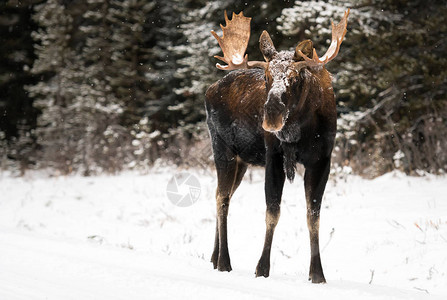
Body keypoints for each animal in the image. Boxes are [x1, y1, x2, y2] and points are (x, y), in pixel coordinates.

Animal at [205, 8, 352, 282]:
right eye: (266, 76)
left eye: (294, 77)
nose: (271, 116)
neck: (300, 130)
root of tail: (209, 90)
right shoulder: (273, 156)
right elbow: (272, 212)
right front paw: (262, 268)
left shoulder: (321, 160)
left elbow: (313, 215)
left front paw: (317, 274)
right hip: (222, 149)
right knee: (222, 197)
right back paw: (224, 261)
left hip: (242, 161)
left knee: (221, 193)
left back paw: (213, 256)